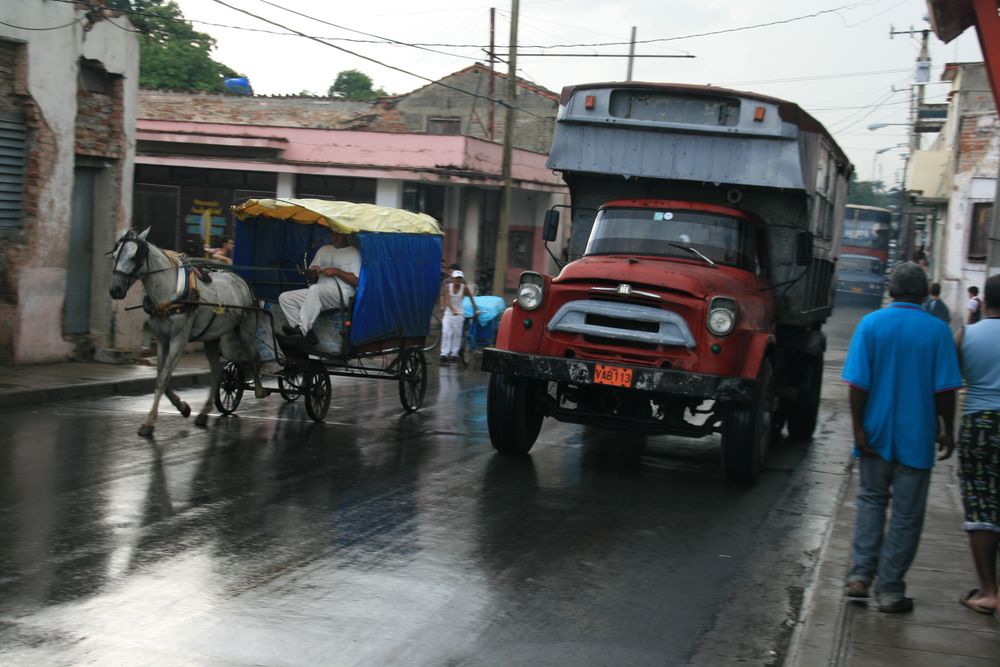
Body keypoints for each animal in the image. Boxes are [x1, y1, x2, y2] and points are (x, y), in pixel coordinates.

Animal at [110, 230, 266, 438]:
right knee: (217, 370)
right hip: (211, 337)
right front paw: (183, 407)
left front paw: (149, 422)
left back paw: (259, 390)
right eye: (114, 255)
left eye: (135, 256)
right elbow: (161, 377)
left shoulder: (179, 339)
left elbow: (163, 378)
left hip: (245, 330)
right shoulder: (162, 339)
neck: (168, 292)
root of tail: (241, 280)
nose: (115, 290)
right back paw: (204, 413)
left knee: (254, 357)